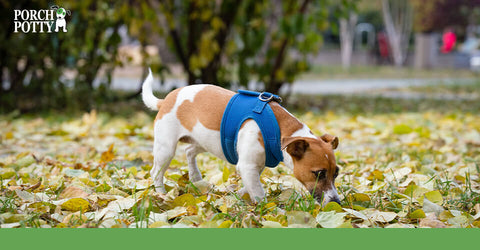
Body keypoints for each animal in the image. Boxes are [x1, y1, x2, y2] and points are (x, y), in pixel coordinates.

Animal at [141, 71, 340, 205]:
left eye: (336, 173)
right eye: (319, 173)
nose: (336, 202)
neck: (278, 129)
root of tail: (166, 100)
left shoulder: (254, 166)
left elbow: (251, 185)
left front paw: (240, 194)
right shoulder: (248, 165)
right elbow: (259, 192)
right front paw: (265, 207)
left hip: (205, 141)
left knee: (190, 151)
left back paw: (196, 178)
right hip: (166, 148)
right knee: (156, 172)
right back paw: (161, 193)